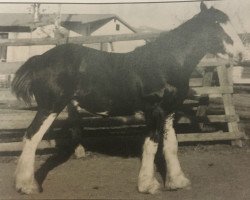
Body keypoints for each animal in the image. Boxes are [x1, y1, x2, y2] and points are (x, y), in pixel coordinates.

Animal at [12, 2, 246, 195]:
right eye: (216, 25)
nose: (242, 54)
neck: (165, 63)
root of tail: (39, 59)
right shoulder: (154, 110)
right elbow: (151, 144)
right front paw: (148, 185)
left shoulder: (169, 111)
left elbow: (171, 145)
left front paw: (177, 181)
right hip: (50, 107)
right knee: (31, 137)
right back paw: (27, 185)